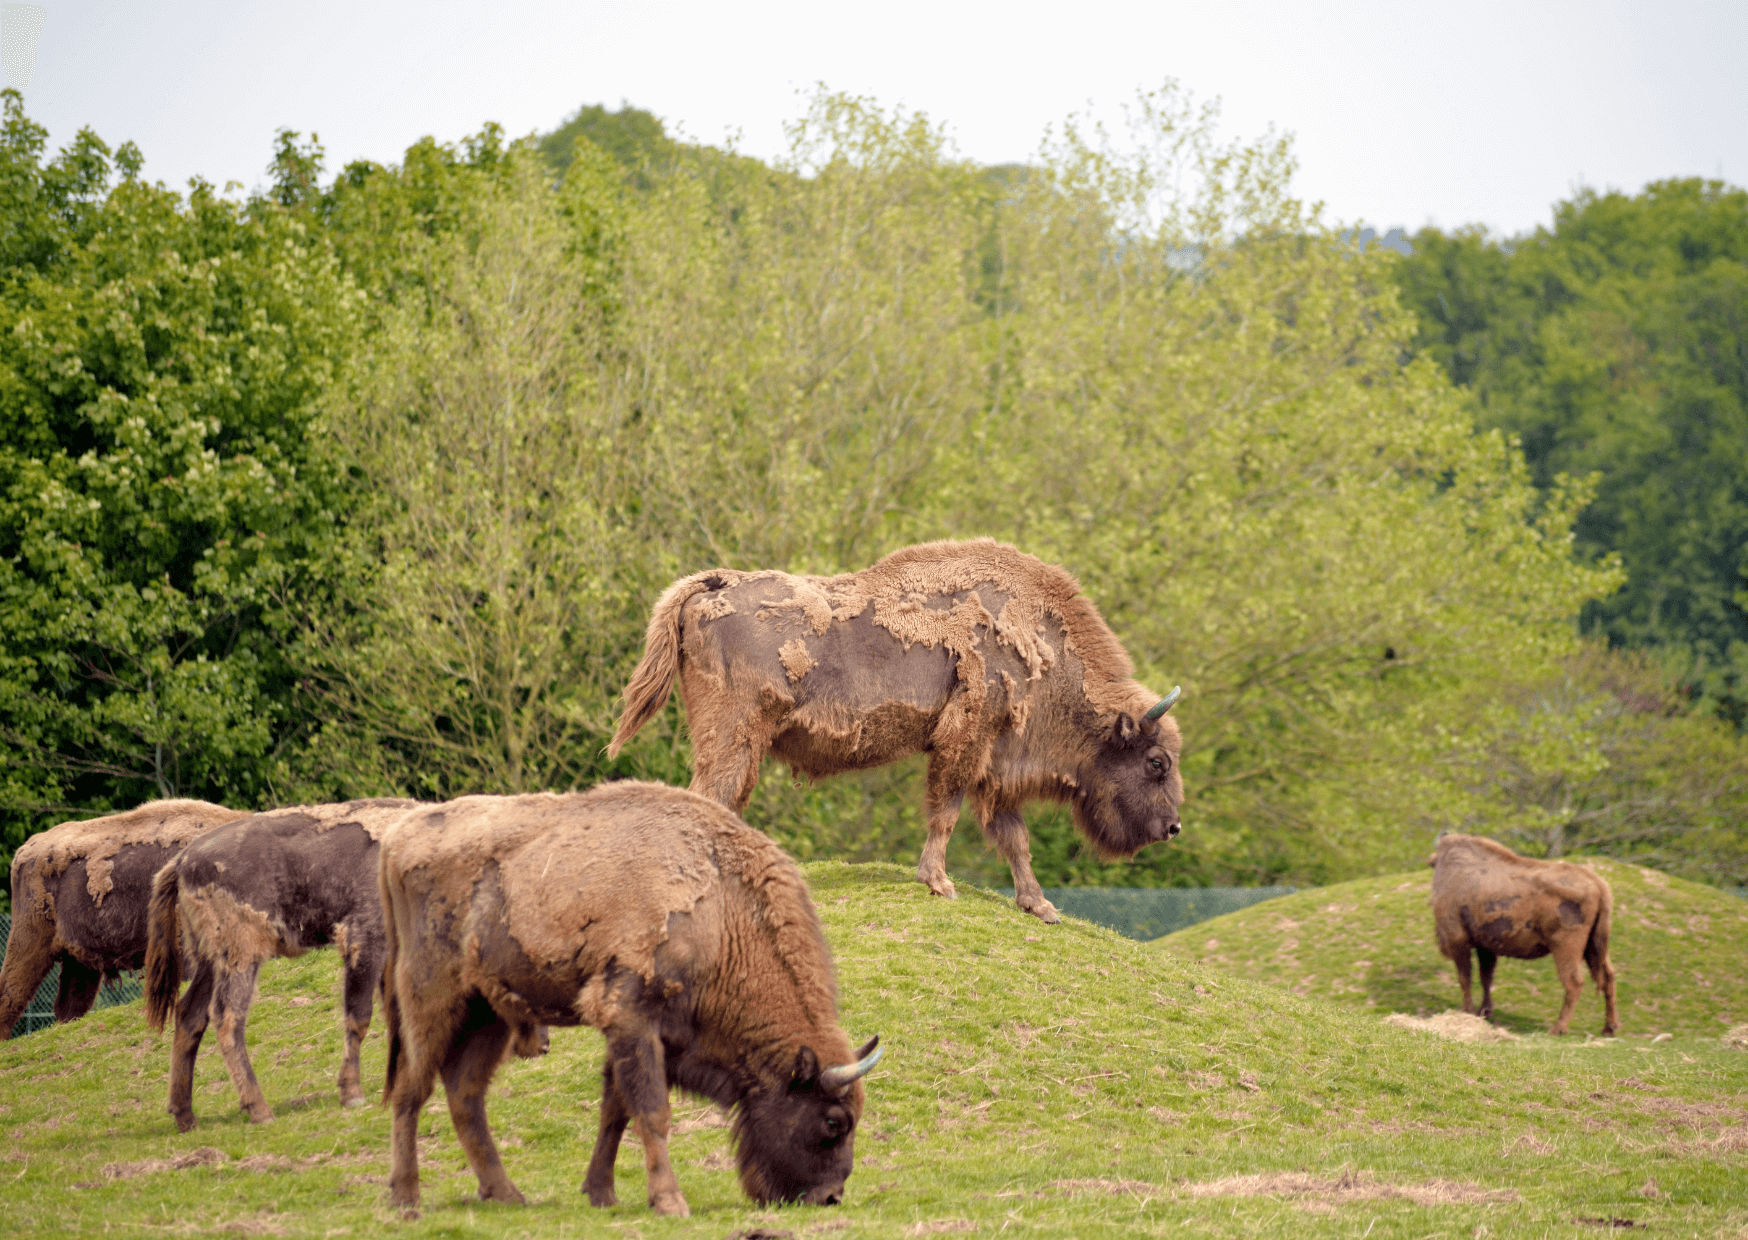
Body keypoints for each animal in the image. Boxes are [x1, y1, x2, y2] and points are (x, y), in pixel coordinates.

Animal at [141, 797, 457, 1126]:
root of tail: (181, 860)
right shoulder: (364, 941)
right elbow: (359, 1016)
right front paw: (352, 1094)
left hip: (209, 960)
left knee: (190, 1015)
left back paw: (185, 1116)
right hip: (241, 955)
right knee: (227, 1017)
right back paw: (260, 1110)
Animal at [377, 780, 880, 1217]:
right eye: (833, 1122)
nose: (829, 1197)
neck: (721, 912)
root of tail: (397, 839)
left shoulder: (654, 1037)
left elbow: (615, 1111)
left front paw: (602, 1195)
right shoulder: (631, 1018)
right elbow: (652, 1112)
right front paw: (670, 1203)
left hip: (488, 1012)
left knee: (465, 1095)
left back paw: (506, 1194)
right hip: (431, 998)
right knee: (411, 1089)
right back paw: (406, 1199)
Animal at [608, 535, 1181, 923]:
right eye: (1156, 762)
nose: (1173, 827)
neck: (1040, 642)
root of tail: (713, 583)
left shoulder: (993, 764)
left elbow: (1014, 837)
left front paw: (1040, 906)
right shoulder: (965, 741)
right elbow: (946, 812)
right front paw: (939, 883)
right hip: (733, 737)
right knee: (710, 799)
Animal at [1426, 832, 1615, 1035]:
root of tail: (1598, 885)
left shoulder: (1458, 940)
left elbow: (1465, 978)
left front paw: (1467, 1010)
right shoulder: (1486, 946)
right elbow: (1485, 977)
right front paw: (1485, 1011)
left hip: (1566, 949)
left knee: (1574, 983)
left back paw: (1558, 1028)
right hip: (1595, 948)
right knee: (1609, 977)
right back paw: (1609, 1028)